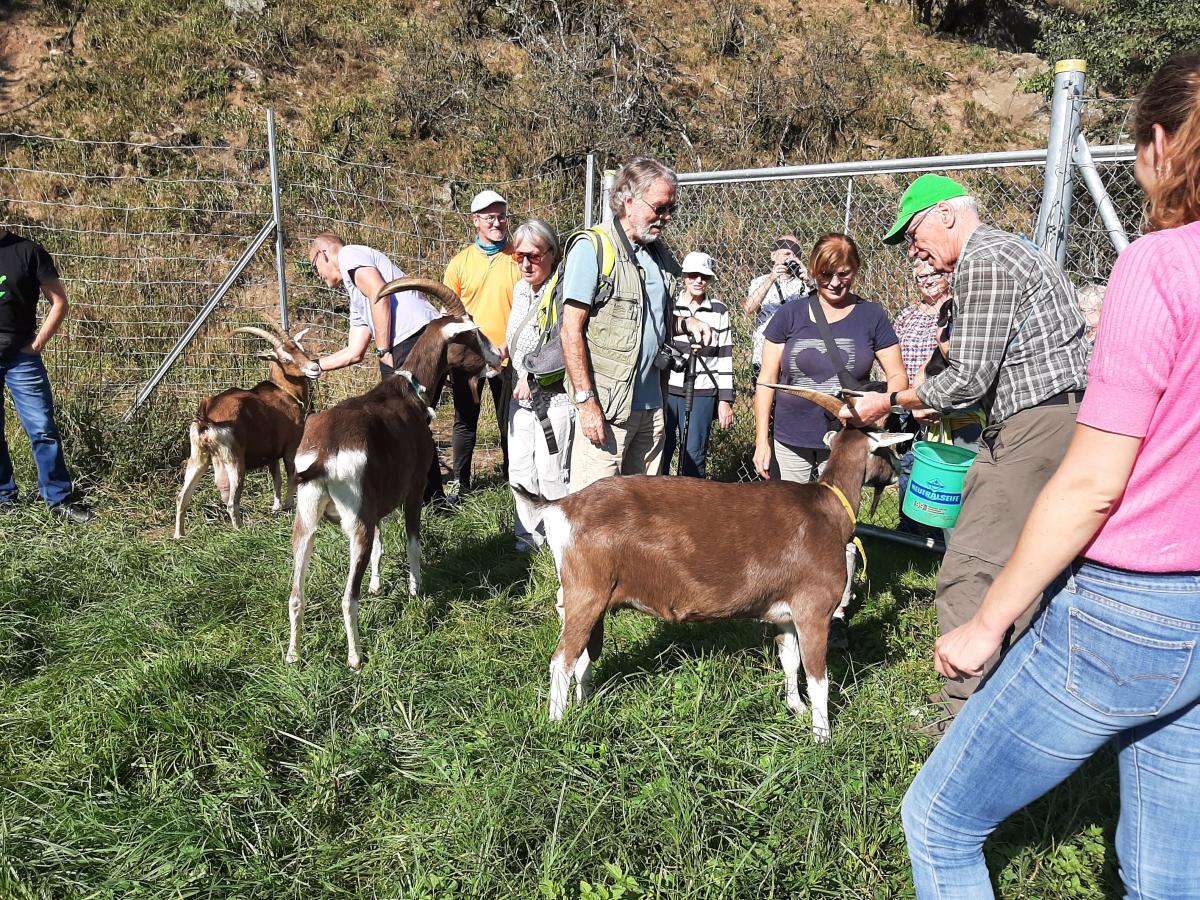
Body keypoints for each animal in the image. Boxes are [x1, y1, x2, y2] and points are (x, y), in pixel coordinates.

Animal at [174, 321, 321, 540]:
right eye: (285, 359)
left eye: (302, 349)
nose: (314, 368)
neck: (284, 392)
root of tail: (207, 417)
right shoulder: (291, 446)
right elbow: (291, 475)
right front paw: (288, 505)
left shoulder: (271, 454)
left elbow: (276, 479)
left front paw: (276, 507)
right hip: (234, 460)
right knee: (231, 501)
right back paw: (241, 532)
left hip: (198, 456)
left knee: (182, 496)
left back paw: (179, 535)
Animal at [285, 278, 501, 672]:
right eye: (474, 333)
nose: (499, 355)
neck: (408, 393)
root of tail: (323, 454)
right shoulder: (413, 490)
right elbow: (413, 541)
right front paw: (416, 588)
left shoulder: (378, 506)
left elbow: (381, 549)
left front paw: (376, 585)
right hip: (356, 524)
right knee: (346, 598)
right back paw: (355, 658)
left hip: (306, 521)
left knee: (295, 594)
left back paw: (293, 655)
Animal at [520, 391, 912, 744]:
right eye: (889, 449)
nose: (898, 474)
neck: (827, 509)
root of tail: (561, 506)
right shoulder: (813, 608)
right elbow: (819, 678)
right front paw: (822, 737)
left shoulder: (785, 612)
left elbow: (789, 660)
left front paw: (796, 708)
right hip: (586, 592)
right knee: (562, 659)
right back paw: (557, 724)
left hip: (593, 598)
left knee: (584, 654)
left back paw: (584, 705)